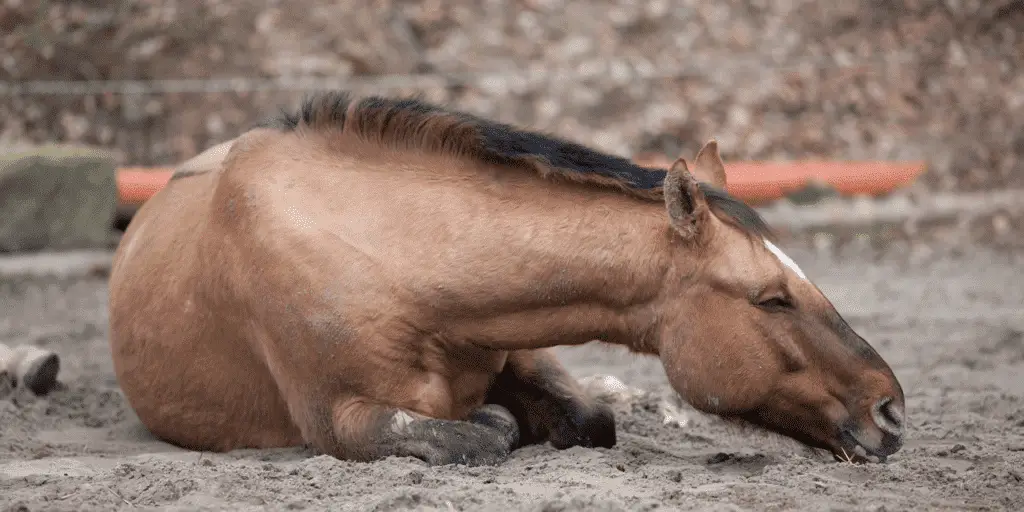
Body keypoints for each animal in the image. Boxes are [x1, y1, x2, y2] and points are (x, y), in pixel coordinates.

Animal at [108, 90, 909, 466]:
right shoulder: (339, 419)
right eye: (770, 298)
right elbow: (480, 433)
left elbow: (589, 419)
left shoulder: (522, 347)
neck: (396, 258)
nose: (891, 411)